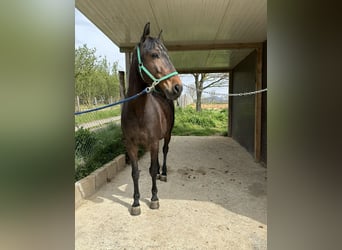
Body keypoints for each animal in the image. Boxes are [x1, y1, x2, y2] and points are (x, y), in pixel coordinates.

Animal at [121, 22, 183, 216]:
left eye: (168, 54)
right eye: (155, 54)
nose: (178, 88)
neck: (139, 112)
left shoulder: (154, 142)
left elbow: (154, 168)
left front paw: (154, 198)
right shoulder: (131, 146)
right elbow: (135, 173)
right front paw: (135, 203)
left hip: (167, 135)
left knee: (164, 152)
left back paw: (163, 173)